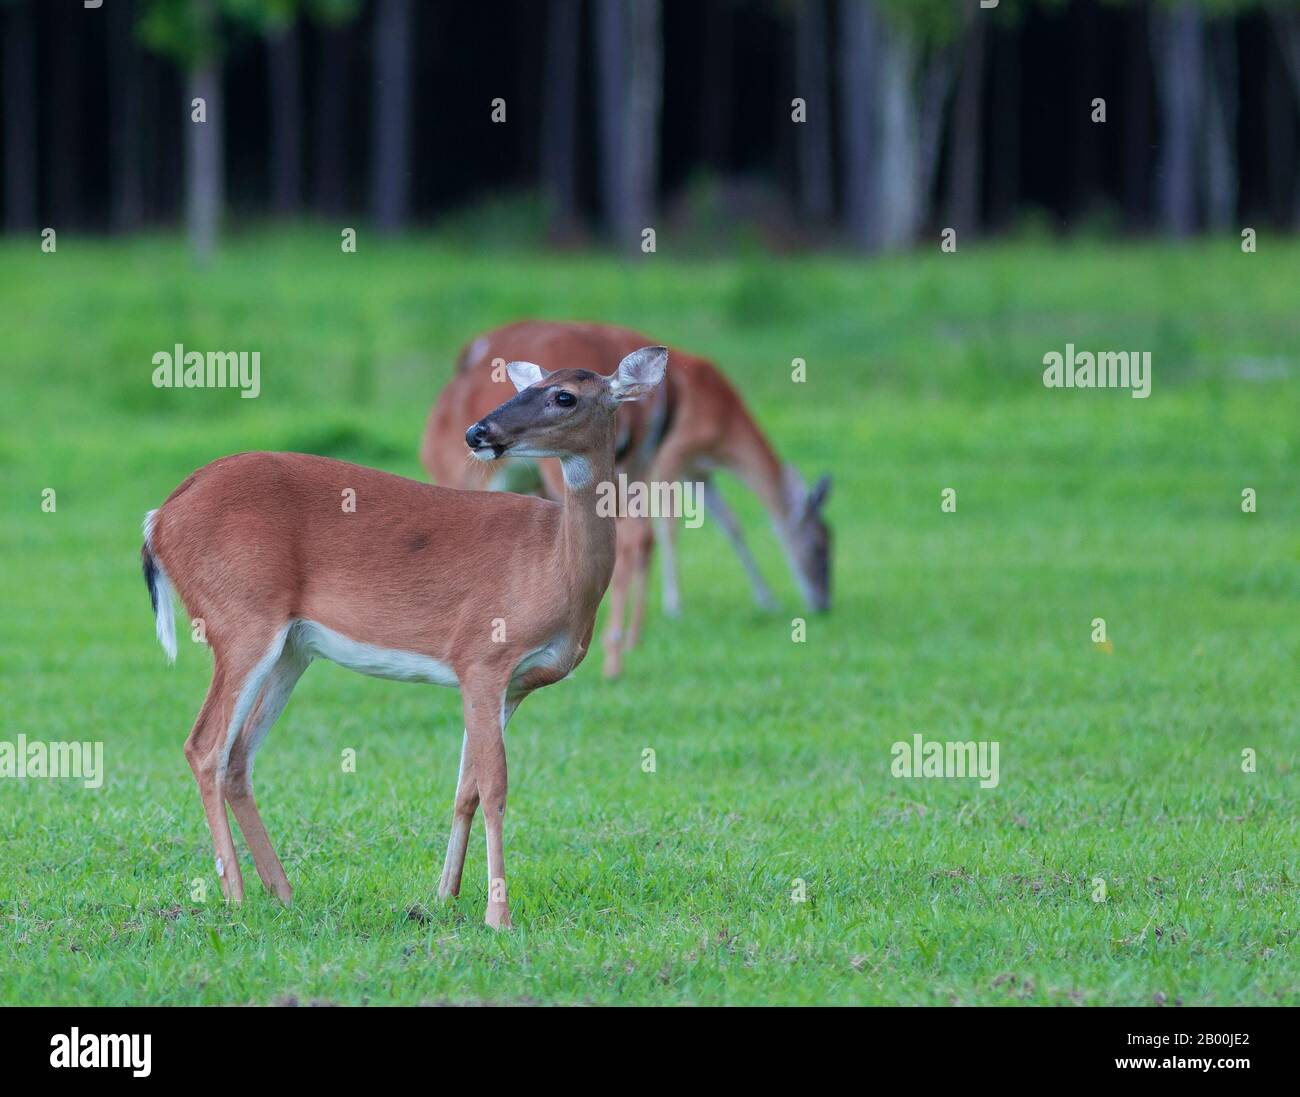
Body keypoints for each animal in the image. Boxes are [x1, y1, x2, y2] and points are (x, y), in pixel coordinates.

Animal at [141, 344, 668, 929]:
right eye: (527, 388)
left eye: (564, 395)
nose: (478, 432)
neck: (555, 567)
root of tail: (159, 518)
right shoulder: (482, 656)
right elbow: (496, 787)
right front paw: (498, 915)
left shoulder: (512, 685)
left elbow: (466, 788)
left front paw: (445, 895)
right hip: (241, 620)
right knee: (205, 746)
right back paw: (235, 895)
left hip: (292, 648)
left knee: (238, 757)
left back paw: (283, 893)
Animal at [420, 321, 832, 678]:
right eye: (820, 545)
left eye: (564, 396)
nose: (476, 432)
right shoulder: (690, 467)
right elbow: (729, 522)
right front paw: (766, 599)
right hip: (636, 464)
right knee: (643, 534)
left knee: (638, 534)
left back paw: (617, 652)